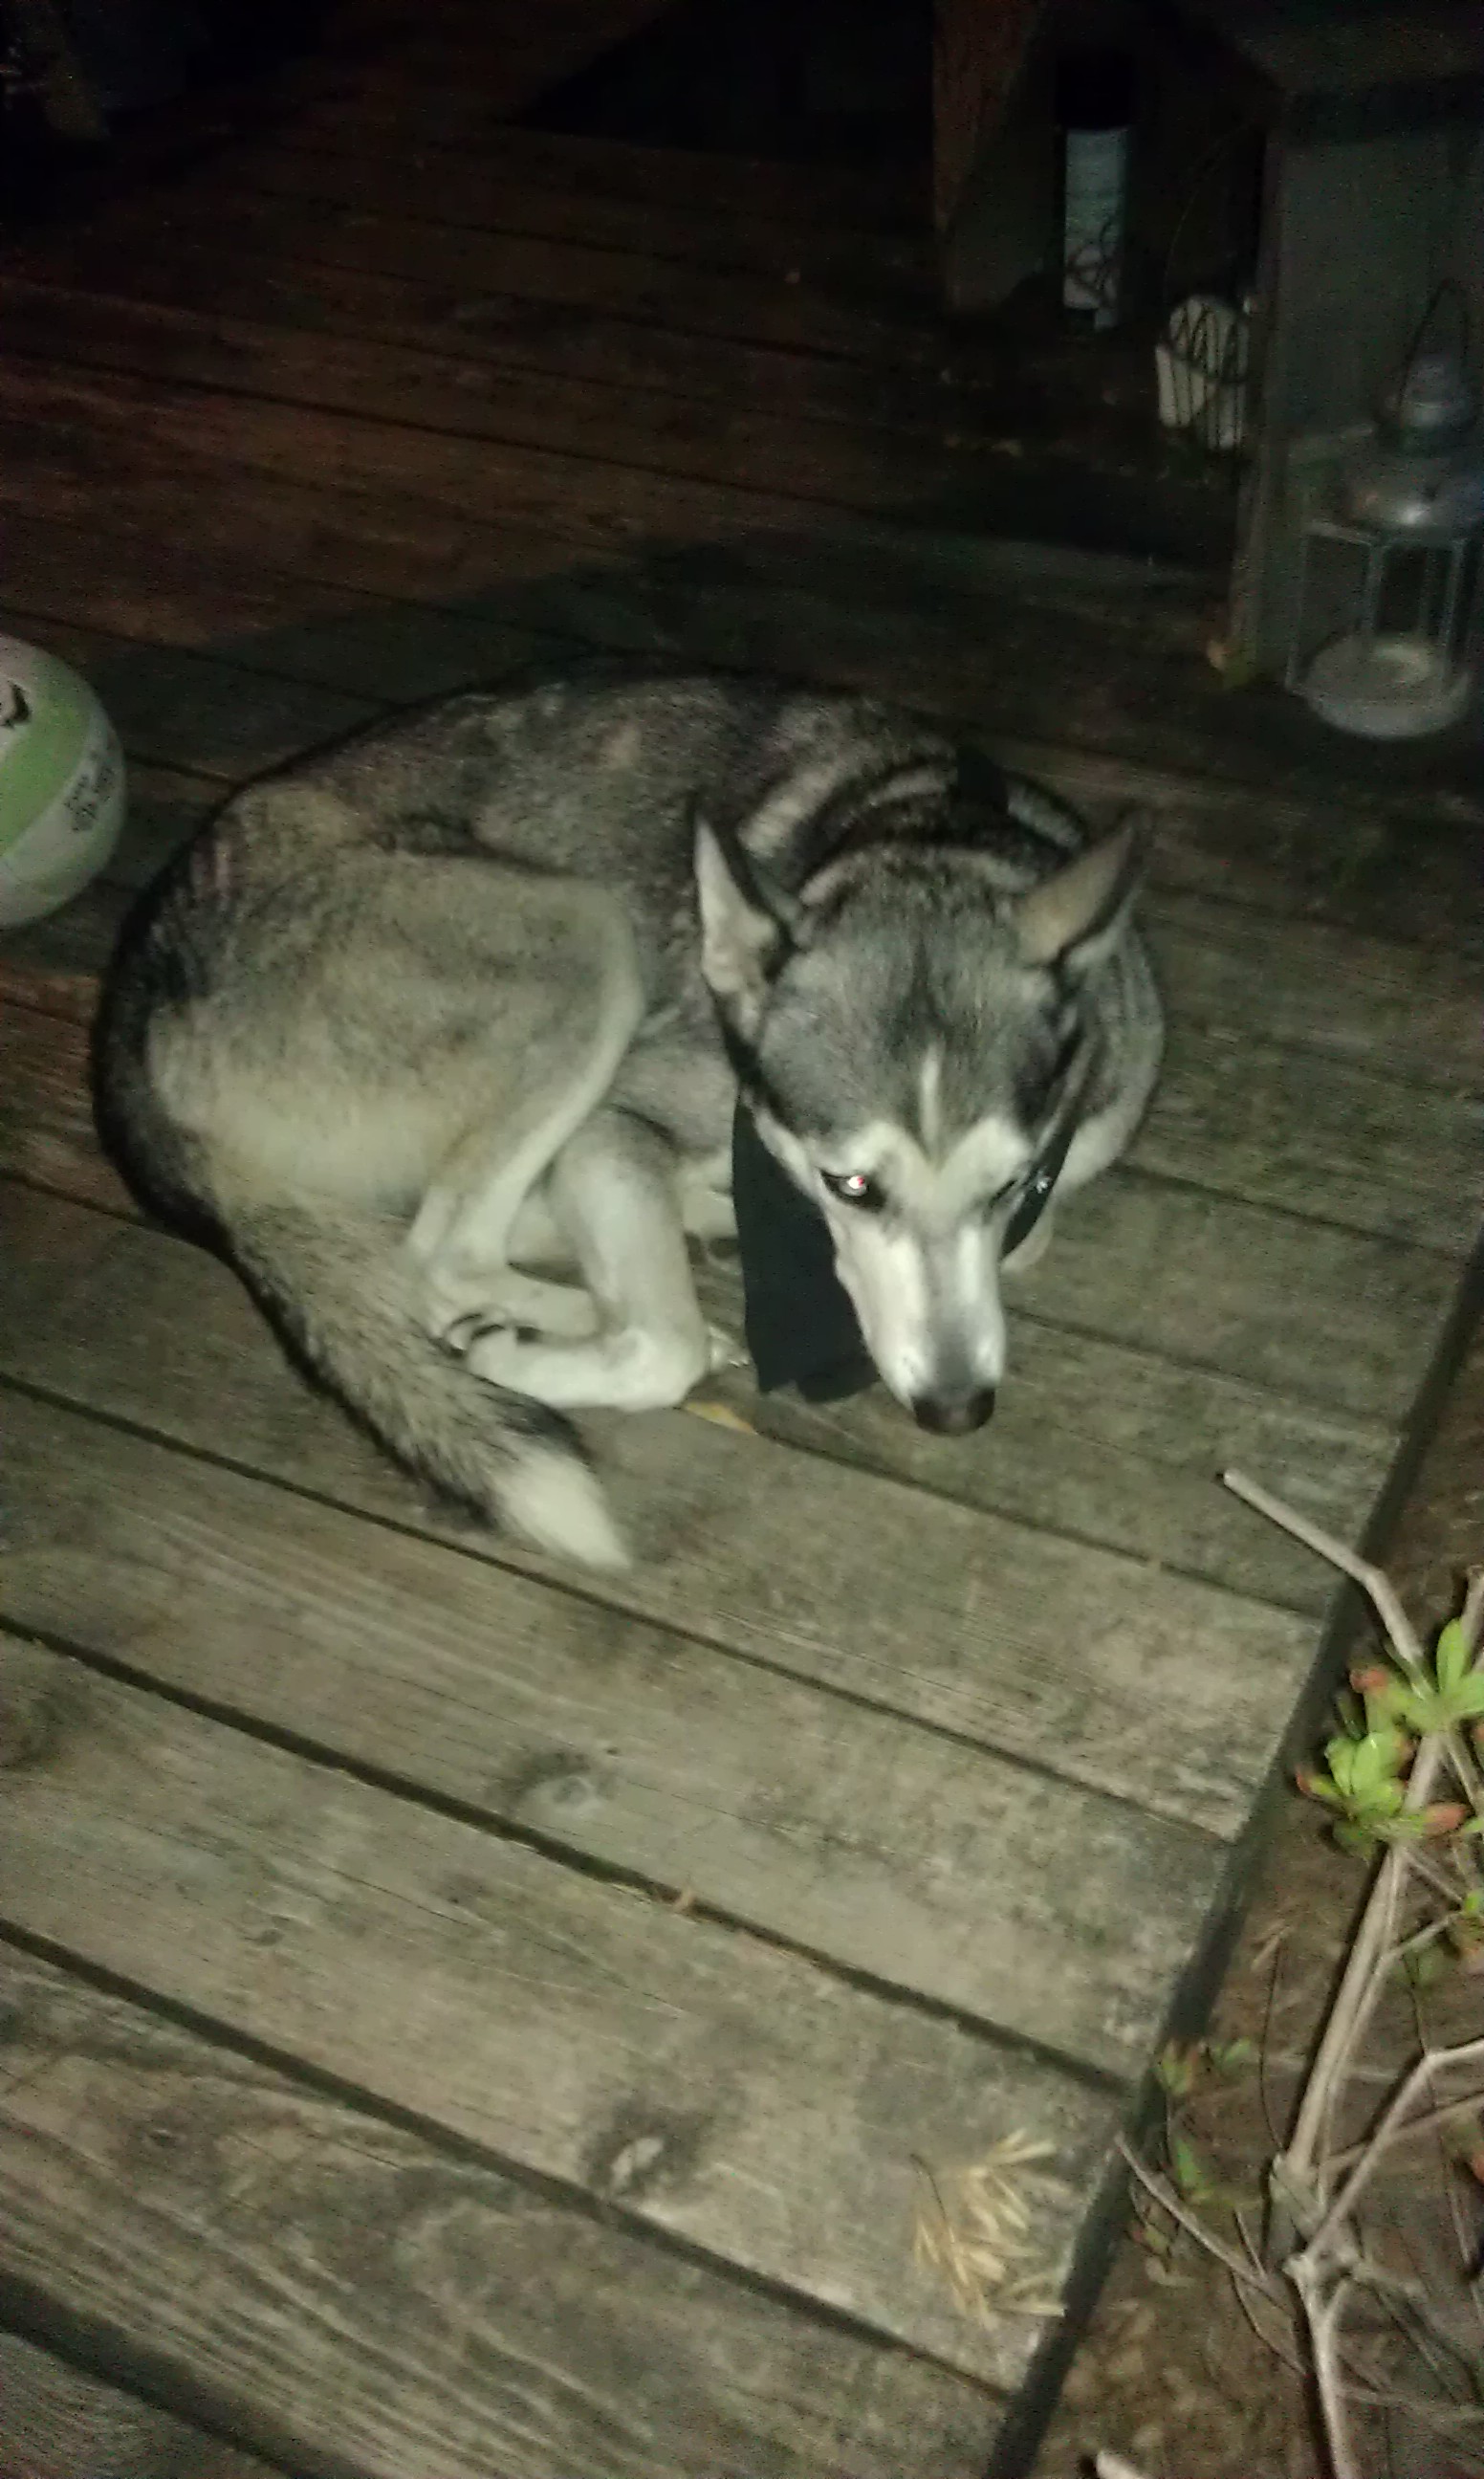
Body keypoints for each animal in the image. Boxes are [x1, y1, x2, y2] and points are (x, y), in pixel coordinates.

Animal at [94, 665, 1164, 1568]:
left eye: (1012, 1184)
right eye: (850, 1184)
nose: (956, 1411)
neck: (922, 832)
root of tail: (137, 1004)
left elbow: (1020, 1244)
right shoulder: (620, 1116)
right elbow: (662, 1343)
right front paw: (542, 1344)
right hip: (585, 935)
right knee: (437, 1256)